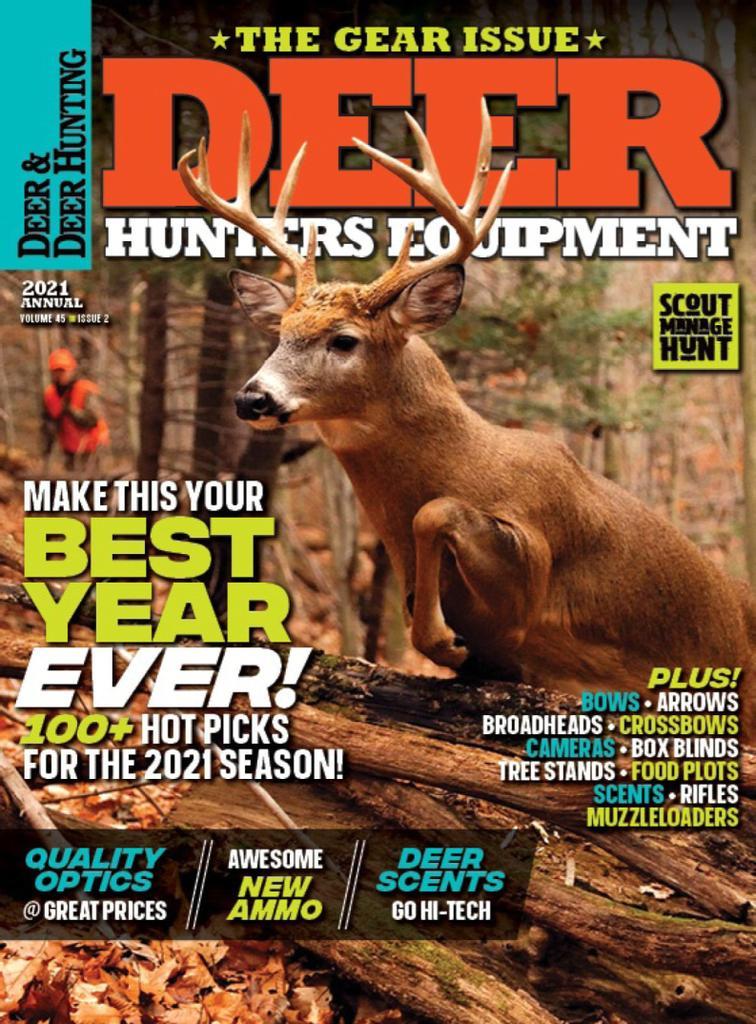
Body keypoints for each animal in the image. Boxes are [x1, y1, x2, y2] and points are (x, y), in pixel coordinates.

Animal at [179, 106, 755, 735]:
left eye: (344, 340)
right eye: (281, 334)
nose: (252, 399)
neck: (467, 460)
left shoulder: (535, 564)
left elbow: (437, 514)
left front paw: (447, 638)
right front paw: (449, 639)